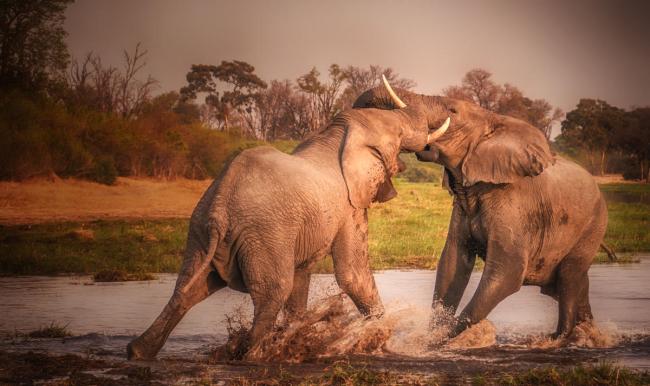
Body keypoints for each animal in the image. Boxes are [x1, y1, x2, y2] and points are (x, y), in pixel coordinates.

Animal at [126, 77, 450, 360]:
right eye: (399, 134)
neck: (336, 135)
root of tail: (220, 205)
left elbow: (301, 278)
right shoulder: (349, 205)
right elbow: (352, 273)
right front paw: (379, 343)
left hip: (199, 232)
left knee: (186, 290)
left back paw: (138, 352)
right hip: (263, 234)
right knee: (272, 293)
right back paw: (253, 355)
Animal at [352, 84, 604, 338]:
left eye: (452, 110)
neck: (491, 118)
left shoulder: (513, 203)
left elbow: (508, 273)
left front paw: (442, 337)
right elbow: (452, 262)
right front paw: (433, 336)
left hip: (591, 228)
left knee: (569, 279)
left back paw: (560, 337)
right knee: (570, 286)